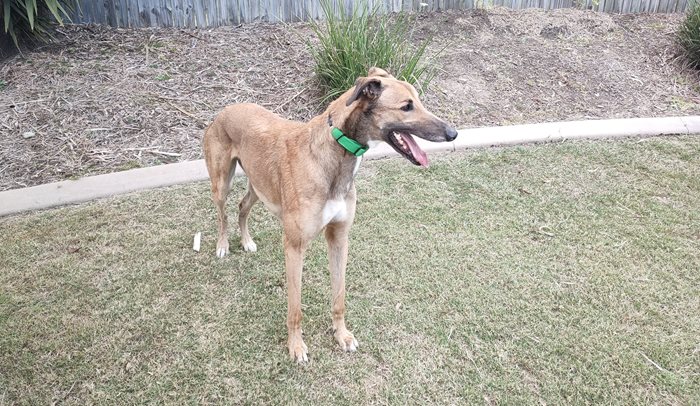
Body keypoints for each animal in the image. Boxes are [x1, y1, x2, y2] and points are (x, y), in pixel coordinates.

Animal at [203, 67, 457, 362]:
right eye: (406, 106)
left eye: (419, 100)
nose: (453, 133)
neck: (337, 150)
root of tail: (226, 109)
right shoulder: (294, 246)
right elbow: (295, 308)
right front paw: (296, 346)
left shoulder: (339, 237)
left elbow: (339, 297)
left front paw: (341, 335)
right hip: (222, 182)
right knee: (222, 213)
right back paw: (223, 245)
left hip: (258, 185)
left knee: (242, 206)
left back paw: (246, 241)